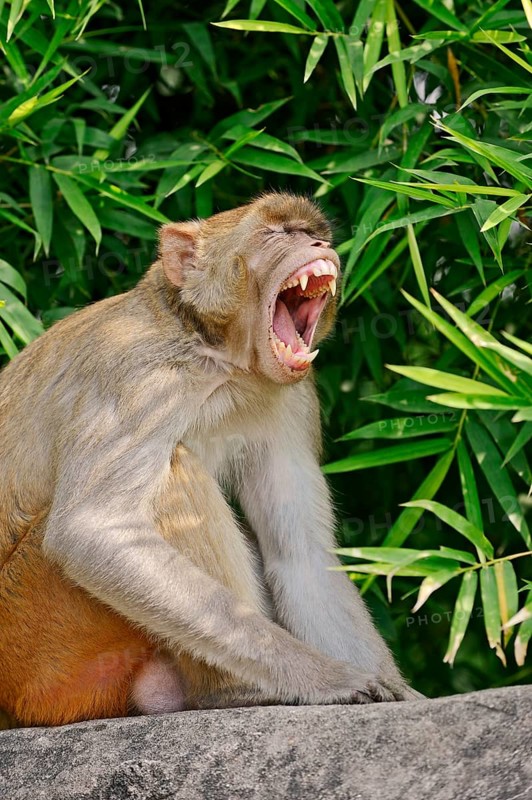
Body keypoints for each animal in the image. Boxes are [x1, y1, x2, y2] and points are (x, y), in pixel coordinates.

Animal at [0, 192, 419, 727]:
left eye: (312, 233)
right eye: (277, 234)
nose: (318, 247)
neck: (218, 358)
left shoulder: (293, 399)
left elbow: (300, 554)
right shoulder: (138, 377)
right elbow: (90, 532)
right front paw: (325, 678)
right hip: (39, 645)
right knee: (172, 474)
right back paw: (230, 691)